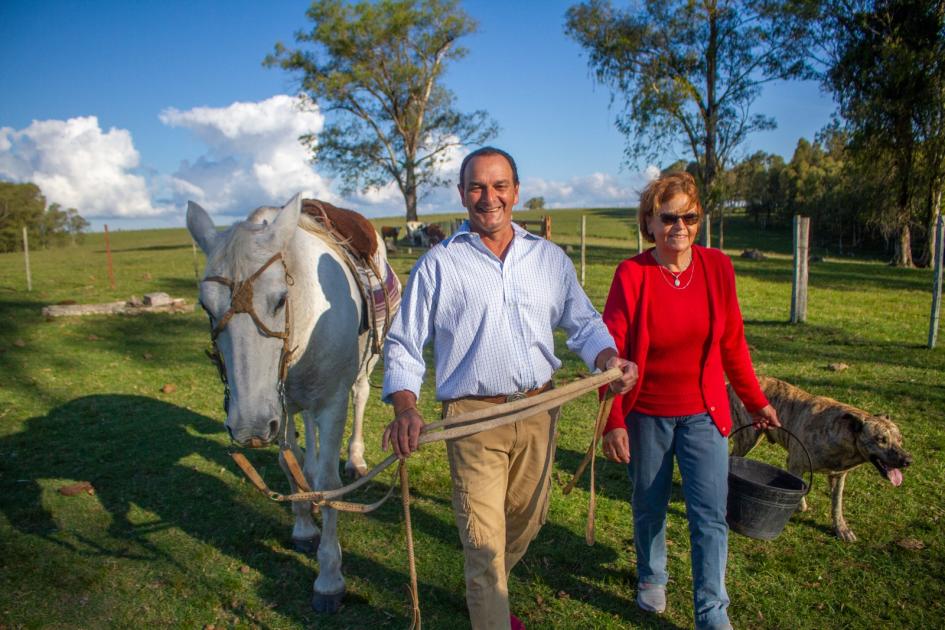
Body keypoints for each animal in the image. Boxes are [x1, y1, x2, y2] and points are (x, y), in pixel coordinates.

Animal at [186, 195, 390, 616]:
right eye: (205, 307)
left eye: (280, 298)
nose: (247, 427)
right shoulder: (277, 409)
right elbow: (287, 460)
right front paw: (303, 526)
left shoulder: (330, 403)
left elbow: (329, 486)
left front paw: (329, 577)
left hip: (365, 366)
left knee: (361, 395)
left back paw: (355, 458)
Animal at [728, 378, 912, 544]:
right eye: (881, 439)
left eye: (900, 440)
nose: (908, 460)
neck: (843, 432)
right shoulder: (795, 463)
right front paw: (800, 506)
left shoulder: (838, 476)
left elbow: (837, 505)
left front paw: (841, 529)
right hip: (748, 439)